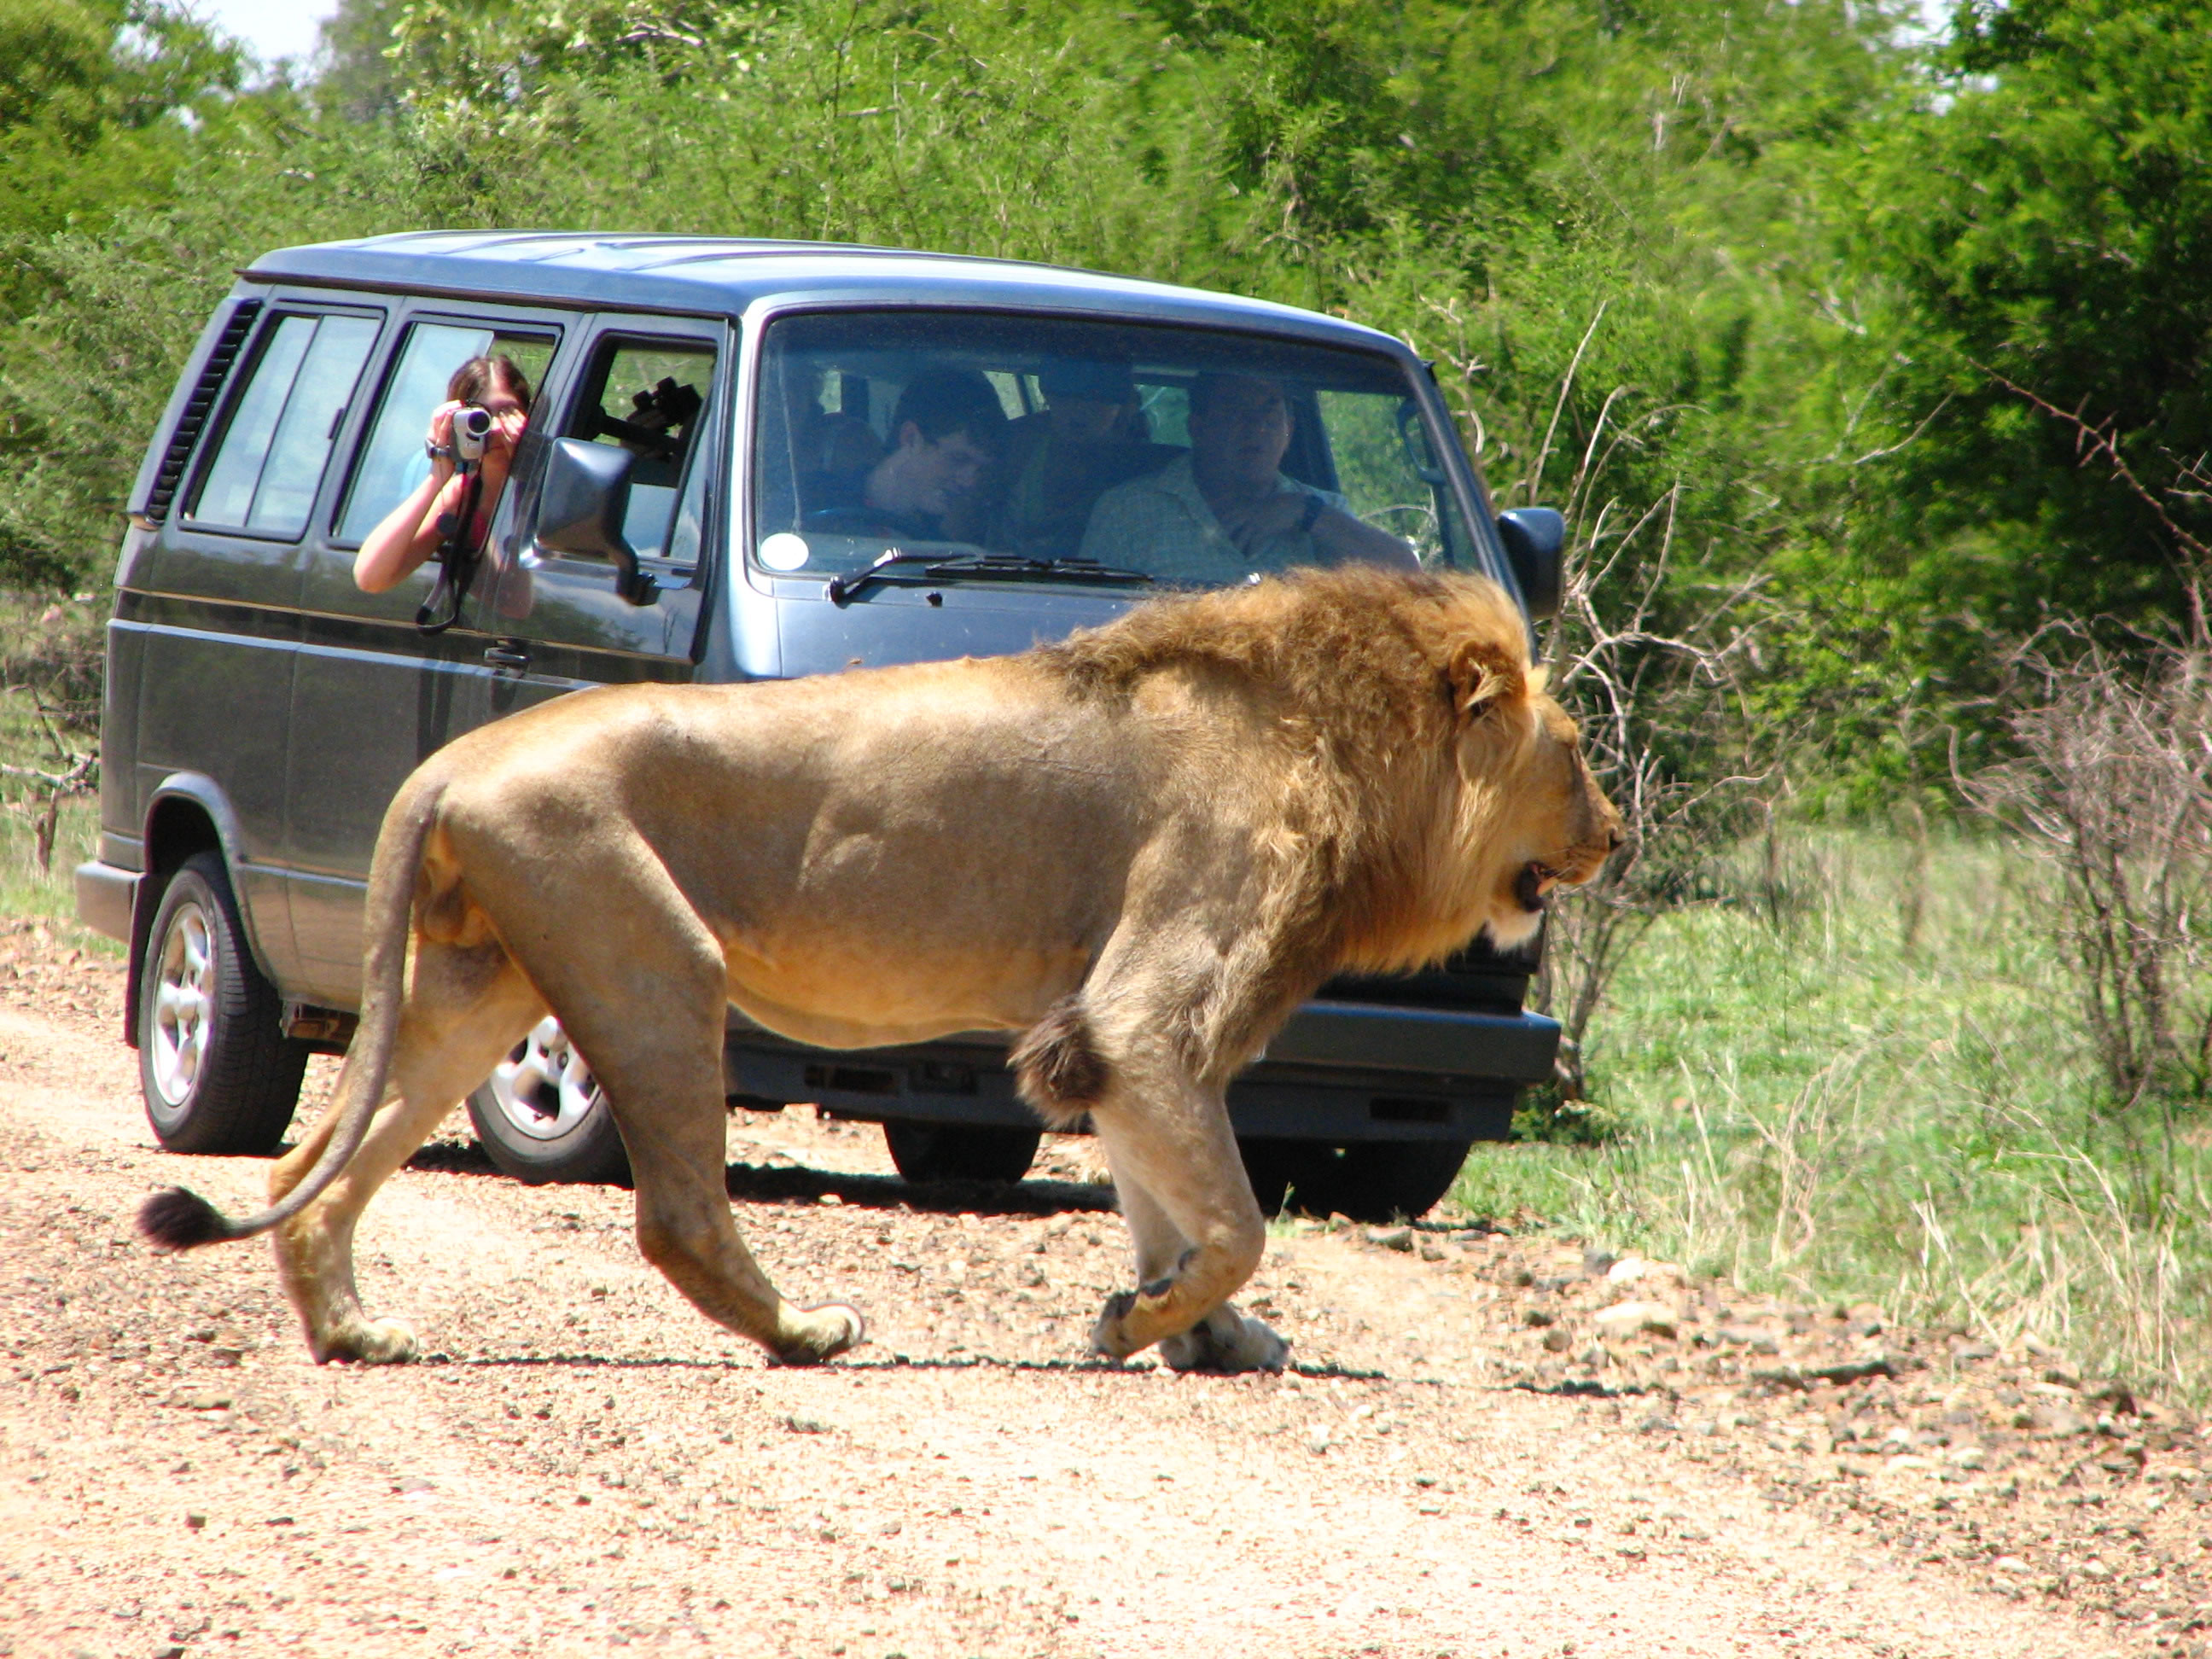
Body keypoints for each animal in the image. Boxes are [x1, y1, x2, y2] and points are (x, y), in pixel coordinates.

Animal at [143, 570, 1627, 1380]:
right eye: (1572, 757)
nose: (1616, 835)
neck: (1351, 755)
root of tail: (449, 761)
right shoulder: (1149, 1009)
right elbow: (1236, 1221)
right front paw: (1144, 1321)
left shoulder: (1116, 1038)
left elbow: (1169, 1203)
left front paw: (1201, 1335)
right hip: (653, 955)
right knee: (675, 1212)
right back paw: (804, 1331)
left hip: (479, 983)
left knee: (311, 1163)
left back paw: (353, 1333)